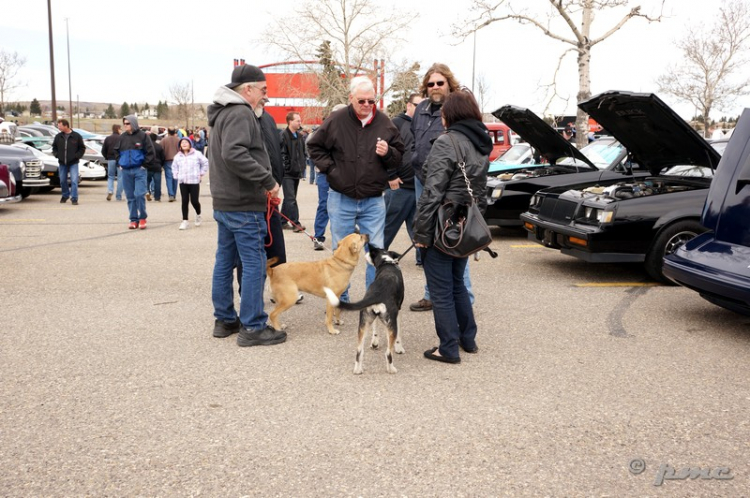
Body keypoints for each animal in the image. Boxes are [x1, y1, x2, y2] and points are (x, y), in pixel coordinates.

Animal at [324, 245, 406, 374]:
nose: (365, 252)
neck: (387, 263)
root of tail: (377, 294)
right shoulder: (397, 313)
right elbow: (398, 337)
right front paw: (399, 348)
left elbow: (375, 330)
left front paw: (375, 342)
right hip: (390, 324)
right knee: (388, 353)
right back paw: (391, 369)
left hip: (363, 324)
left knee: (359, 351)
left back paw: (358, 370)